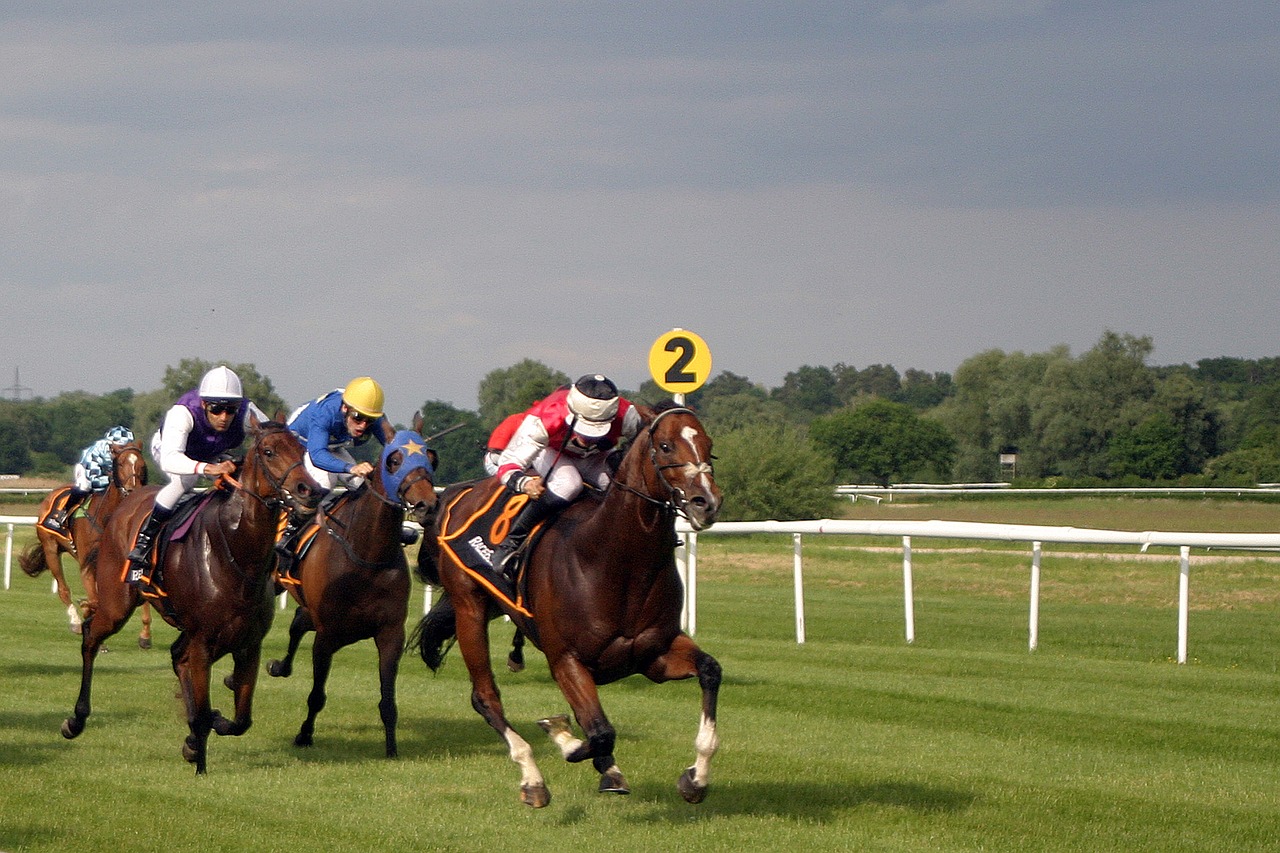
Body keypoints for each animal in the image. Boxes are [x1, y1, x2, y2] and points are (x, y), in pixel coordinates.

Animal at [19, 438, 156, 645]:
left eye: (142, 464)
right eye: (120, 463)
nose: (134, 490)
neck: (107, 517)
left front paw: (145, 634)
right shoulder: (87, 563)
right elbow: (96, 600)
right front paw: (86, 613)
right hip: (51, 548)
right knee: (63, 589)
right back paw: (76, 621)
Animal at [60, 414, 322, 773]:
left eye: (302, 449)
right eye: (269, 451)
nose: (310, 490)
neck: (237, 553)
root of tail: (126, 504)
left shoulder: (248, 644)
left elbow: (241, 719)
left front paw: (207, 731)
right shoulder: (203, 641)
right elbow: (202, 712)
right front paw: (200, 765)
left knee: (176, 655)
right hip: (116, 604)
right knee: (90, 638)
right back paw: (76, 719)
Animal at [266, 414, 440, 753]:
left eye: (429, 457)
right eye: (394, 460)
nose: (427, 505)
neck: (366, 555)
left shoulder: (390, 634)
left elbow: (388, 701)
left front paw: (391, 749)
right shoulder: (327, 635)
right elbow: (317, 695)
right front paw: (304, 735)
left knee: (297, 621)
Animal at [414, 402, 727, 809]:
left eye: (709, 444)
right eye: (665, 446)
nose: (707, 502)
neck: (614, 560)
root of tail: (457, 493)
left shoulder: (653, 654)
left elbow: (710, 671)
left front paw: (696, 777)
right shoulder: (566, 660)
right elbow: (598, 733)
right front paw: (559, 733)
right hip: (470, 607)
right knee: (485, 698)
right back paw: (532, 778)